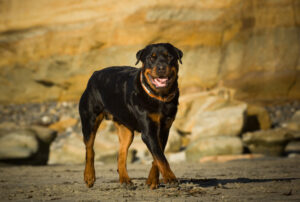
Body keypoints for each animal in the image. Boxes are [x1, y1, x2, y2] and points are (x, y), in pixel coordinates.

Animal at [79, 42, 183, 189]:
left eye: (169, 57)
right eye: (151, 58)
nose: (161, 67)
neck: (159, 97)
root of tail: (94, 74)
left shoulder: (164, 129)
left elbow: (158, 156)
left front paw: (152, 180)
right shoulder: (148, 131)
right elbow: (160, 156)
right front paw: (170, 177)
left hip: (126, 129)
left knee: (121, 154)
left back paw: (125, 180)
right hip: (90, 119)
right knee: (89, 149)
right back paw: (89, 176)